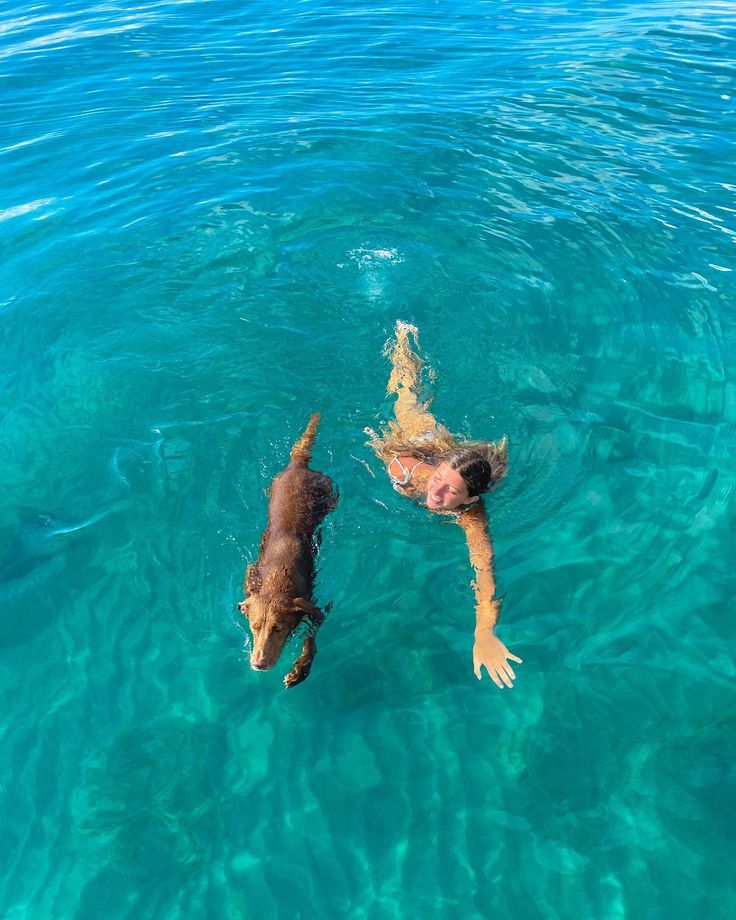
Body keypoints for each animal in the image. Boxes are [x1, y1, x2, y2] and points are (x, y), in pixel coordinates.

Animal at [239, 414, 336, 688]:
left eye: (278, 629)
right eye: (254, 626)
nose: (258, 663)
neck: (276, 583)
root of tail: (297, 466)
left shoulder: (315, 609)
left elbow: (311, 640)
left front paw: (300, 669)